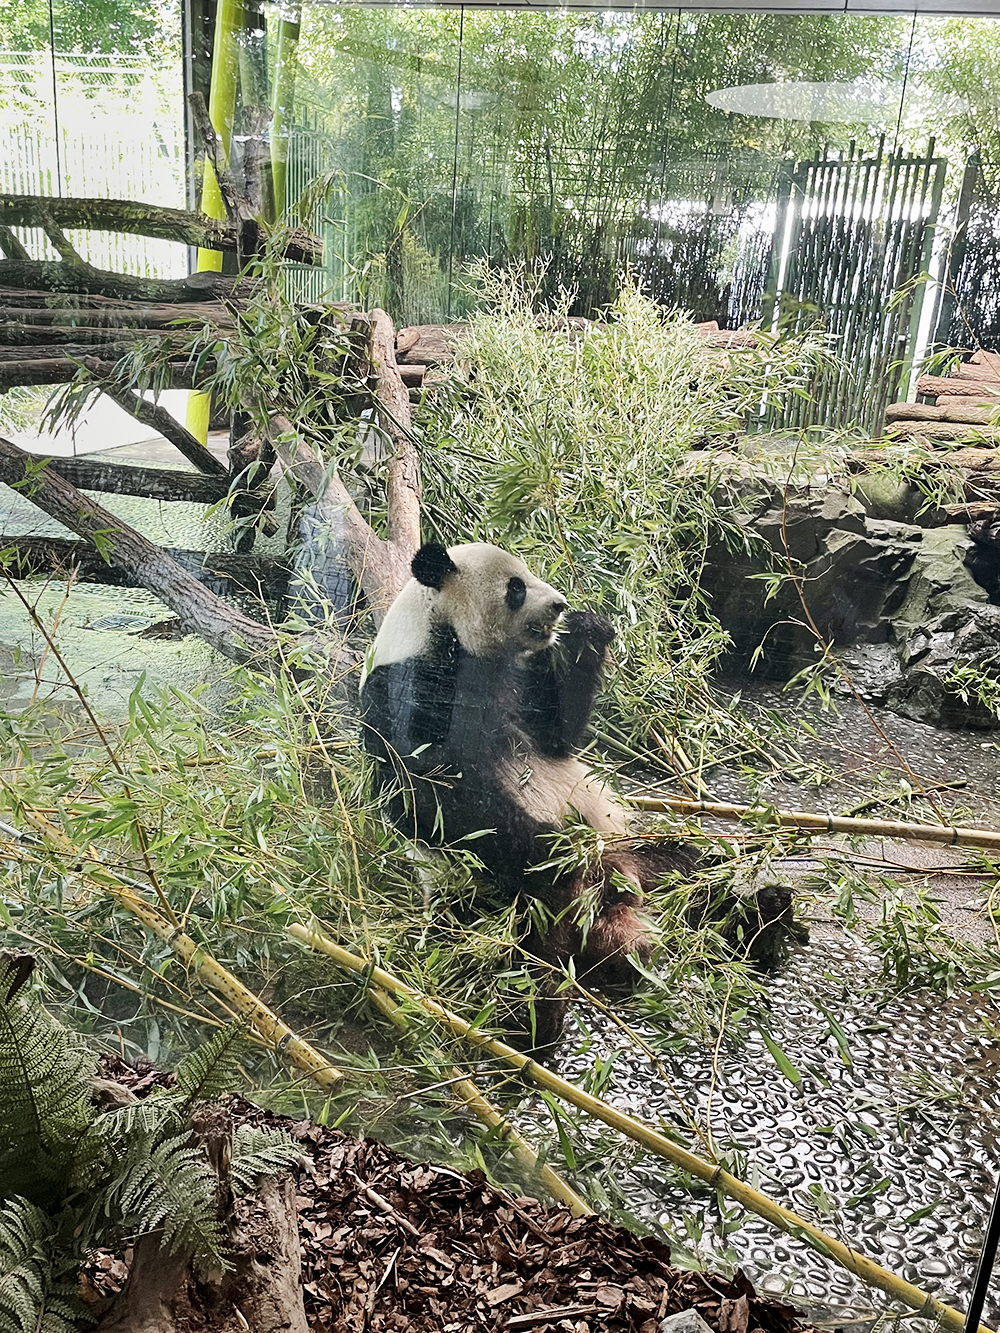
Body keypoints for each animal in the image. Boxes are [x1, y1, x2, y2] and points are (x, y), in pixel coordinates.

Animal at [360, 541, 698, 1039]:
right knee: (510, 951)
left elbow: (557, 736)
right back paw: (539, 1017)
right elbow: (431, 792)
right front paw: (554, 847)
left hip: (631, 851)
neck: (445, 631)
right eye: (516, 588)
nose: (559, 604)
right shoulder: (411, 686)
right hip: (484, 901)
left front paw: (587, 629)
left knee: (684, 865)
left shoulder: (521, 681)